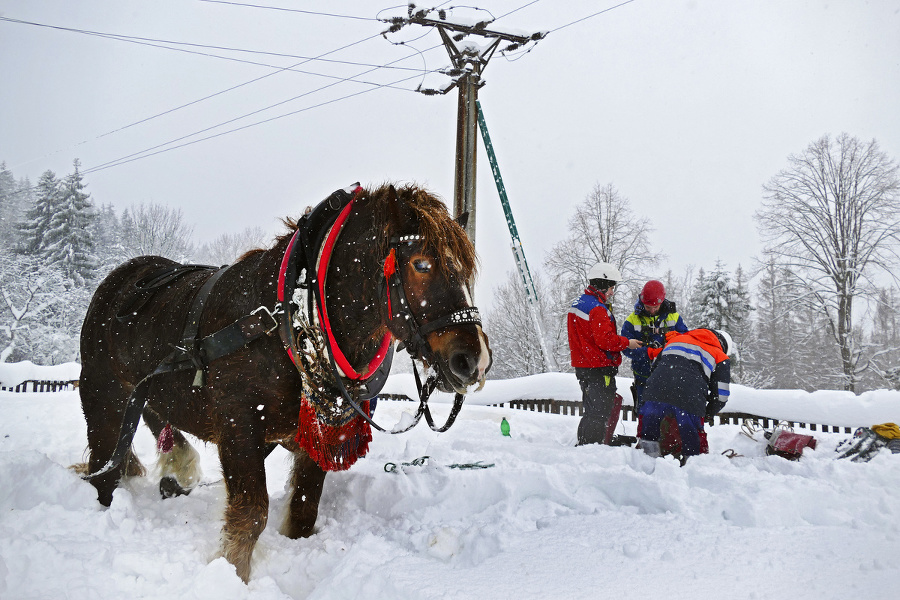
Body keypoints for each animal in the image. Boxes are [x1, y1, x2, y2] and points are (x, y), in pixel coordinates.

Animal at [79, 183, 492, 580]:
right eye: (421, 264)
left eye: (465, 272)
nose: (474, 360)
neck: (288, 318)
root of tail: (120, 278)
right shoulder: (238, 428)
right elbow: (250, 515)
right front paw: (234, 574)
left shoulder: (321, 434)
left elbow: (304, 510)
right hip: (103, 398)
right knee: (105, 466)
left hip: (148, 391)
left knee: (152, 415)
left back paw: (176, 468)